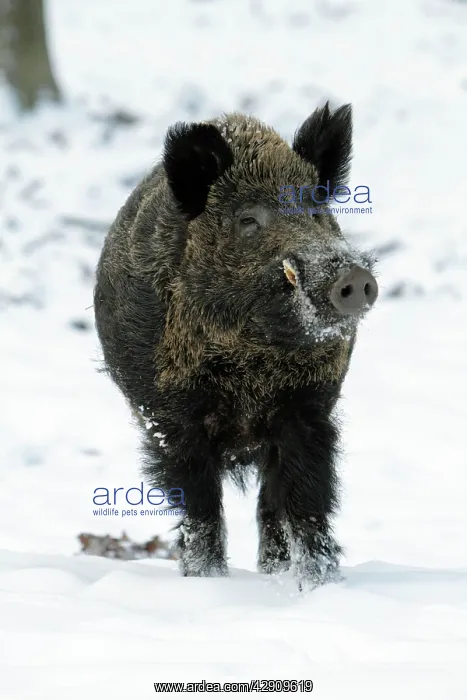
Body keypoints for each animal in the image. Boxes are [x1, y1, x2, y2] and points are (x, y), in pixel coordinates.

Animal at [93, 101, 378, 590]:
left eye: (316, 210)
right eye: (248, 220)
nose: (355, 277)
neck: (250, 365)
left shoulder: (308, 407)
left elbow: (306, 501)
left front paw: (319, 586)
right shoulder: (171, 418)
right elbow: (201, 506)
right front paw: (207, 581)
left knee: (270, 505)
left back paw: (274, 571)